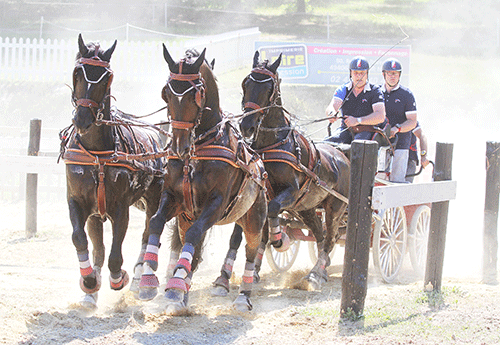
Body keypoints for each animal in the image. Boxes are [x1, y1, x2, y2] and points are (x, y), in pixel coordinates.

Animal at [58, 33, 164, 306]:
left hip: (155, 197)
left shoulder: (120, 208)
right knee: (99, 245)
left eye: (106, 77)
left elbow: (116, 253)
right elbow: (82, 239)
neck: (97, 155)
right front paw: (89, 282)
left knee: (148, 234)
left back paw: (139, 279)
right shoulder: (79, 202)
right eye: (77, 72)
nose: (82, 119)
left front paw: (118, 278)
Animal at [136, 45, 270, 312]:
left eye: (195, 95)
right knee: (193, 248)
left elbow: (195, 235)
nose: (179, 146)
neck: (197, 152)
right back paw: (182, 294)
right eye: (167, 93)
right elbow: (156, 222)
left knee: (251, 250)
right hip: (187, 218)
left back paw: (243, 295)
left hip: (254, 218)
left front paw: (176, 284)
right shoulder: (174, 198)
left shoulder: (216, 205)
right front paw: (148, 280)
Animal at [213, 51, 350, 290]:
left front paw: (279, 240)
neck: (271, 145)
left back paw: (316, 274)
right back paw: (321, 270)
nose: (246, 126)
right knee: (320, 234)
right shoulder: (252, 195)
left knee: (331, 238)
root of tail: (342, 155)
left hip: (335, 208)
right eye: (246, 83)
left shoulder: (290, 192)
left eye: (269, 88)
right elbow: (244, 234)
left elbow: (273, 213)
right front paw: (234, 275)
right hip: (307, 208)